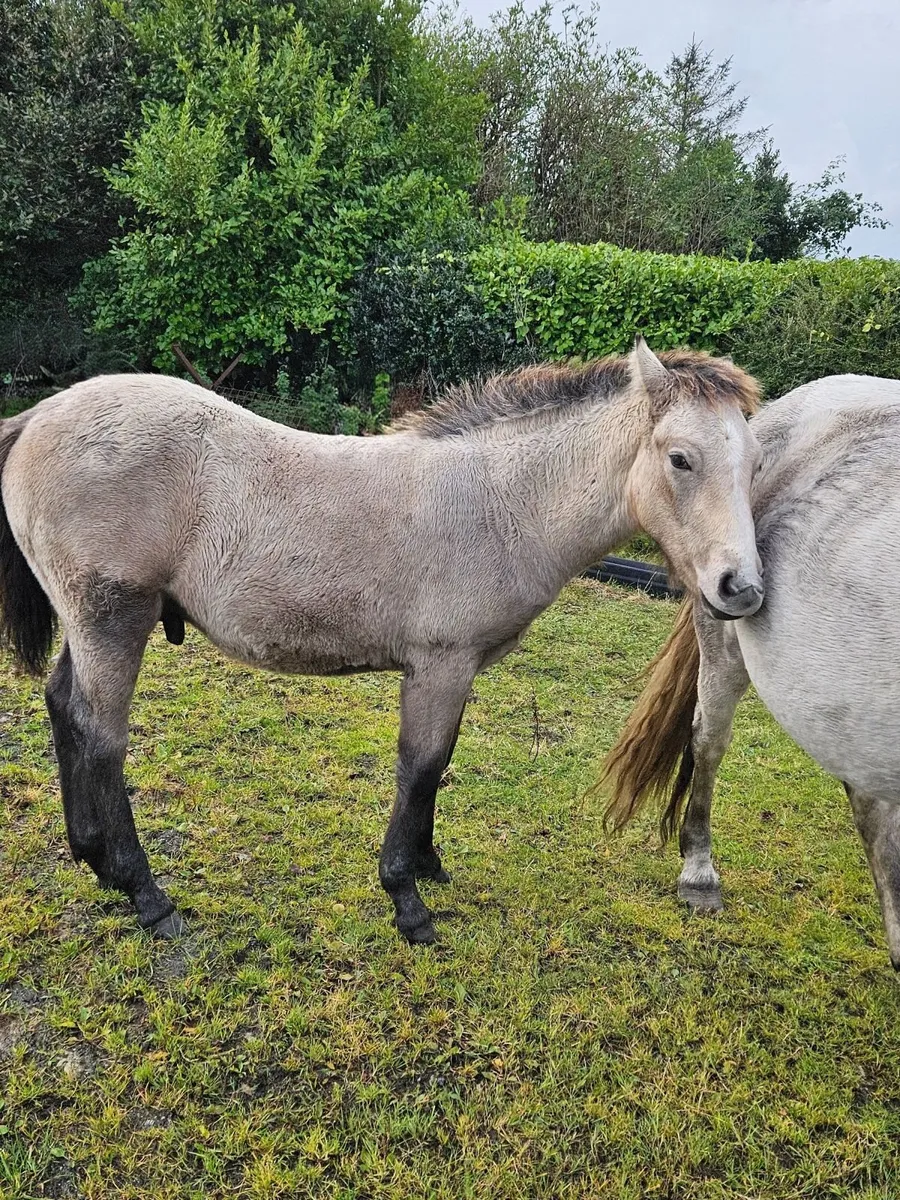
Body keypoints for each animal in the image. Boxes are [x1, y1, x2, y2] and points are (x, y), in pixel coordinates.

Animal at [0, 338, 762, 945]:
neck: (498, 503)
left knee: (64, 707)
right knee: (103, 737)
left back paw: (92, 858)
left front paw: (428, 864)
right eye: (680, 458)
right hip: (113, 619)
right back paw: (145, 893)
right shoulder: (440, 665)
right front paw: (408, 900)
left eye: (754, 463)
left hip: (92, 622)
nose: (741, 589)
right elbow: (419, 766)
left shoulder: (458, 670)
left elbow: (439, 764)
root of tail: (37, 416)